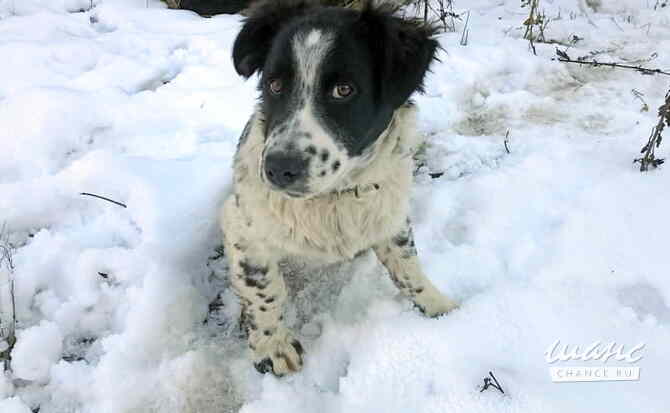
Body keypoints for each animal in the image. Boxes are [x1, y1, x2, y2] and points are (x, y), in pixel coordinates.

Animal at [219, 0, 456, 374]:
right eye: (275, 85)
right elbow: (263, 287)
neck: (334, 196)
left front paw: (438, 307)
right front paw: (273, 345)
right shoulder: (240, 225)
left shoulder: (390, 216)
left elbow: (407, 265)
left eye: (344, 90)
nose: (278, 169)